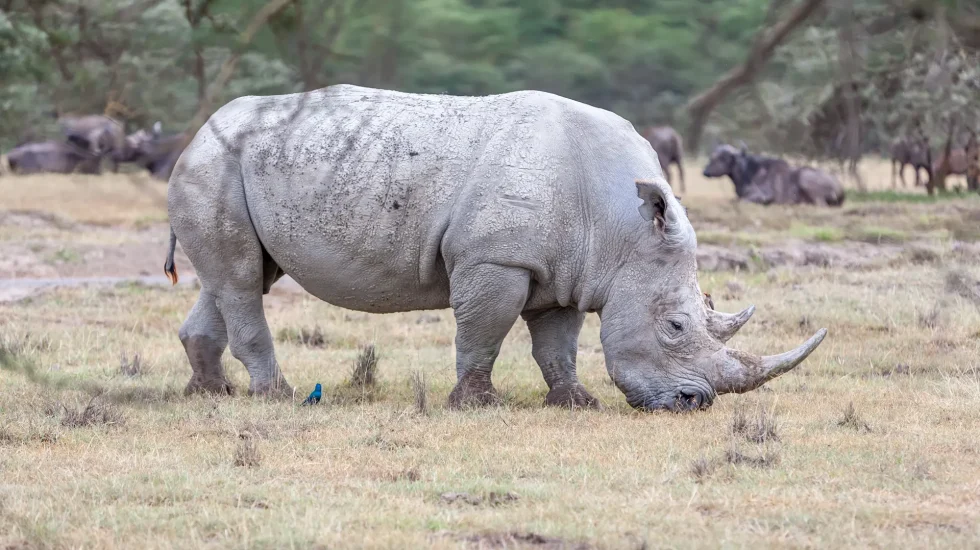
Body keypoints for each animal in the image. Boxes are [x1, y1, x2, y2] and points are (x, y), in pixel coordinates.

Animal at [164, 85, 826, 411]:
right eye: (675, 327)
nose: (695, 404)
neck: (620, 228)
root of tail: (196, 132)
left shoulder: (568, 270)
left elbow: (557, 344)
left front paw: (575, 403)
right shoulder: (496, 259)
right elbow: (484, 331)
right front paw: (474, 405)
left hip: (234, 166)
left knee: (236, 277)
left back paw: (211, 394)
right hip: (214, 165)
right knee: (241, 280)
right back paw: (274, 397)